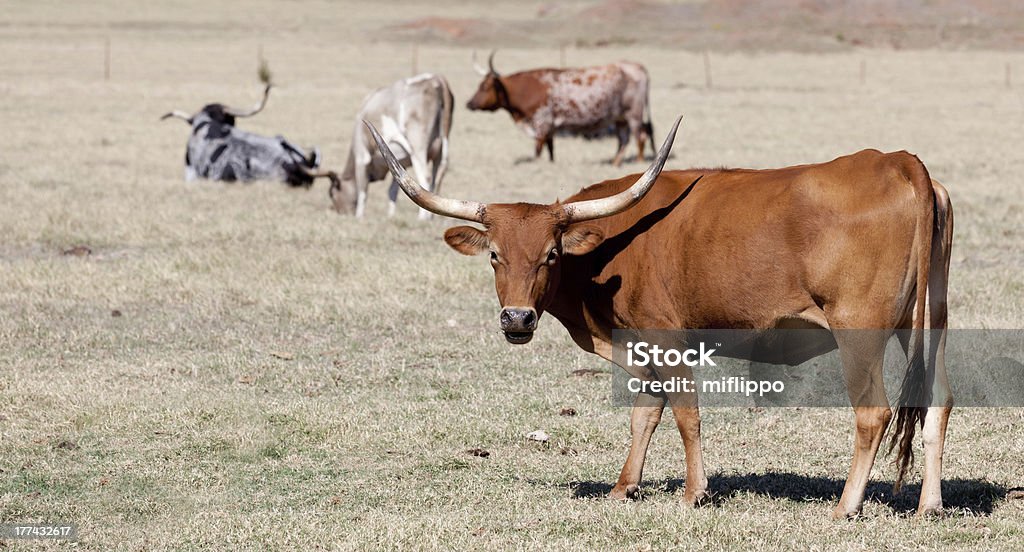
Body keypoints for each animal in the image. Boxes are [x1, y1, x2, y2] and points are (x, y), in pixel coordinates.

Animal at [362, 118, 950, 520]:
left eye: (551, 254)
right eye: (494, 255)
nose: (517, 318)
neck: (609, 251)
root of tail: (899, 161)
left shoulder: (669, 339)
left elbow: (685, 414)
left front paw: (694, 493)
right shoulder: (639, 347)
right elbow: (644, 414)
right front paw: (624, 487)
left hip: (860, 331)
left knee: (873, 413)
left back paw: (846, 506)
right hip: (928, 322)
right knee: (938, 402)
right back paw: (930, 504)